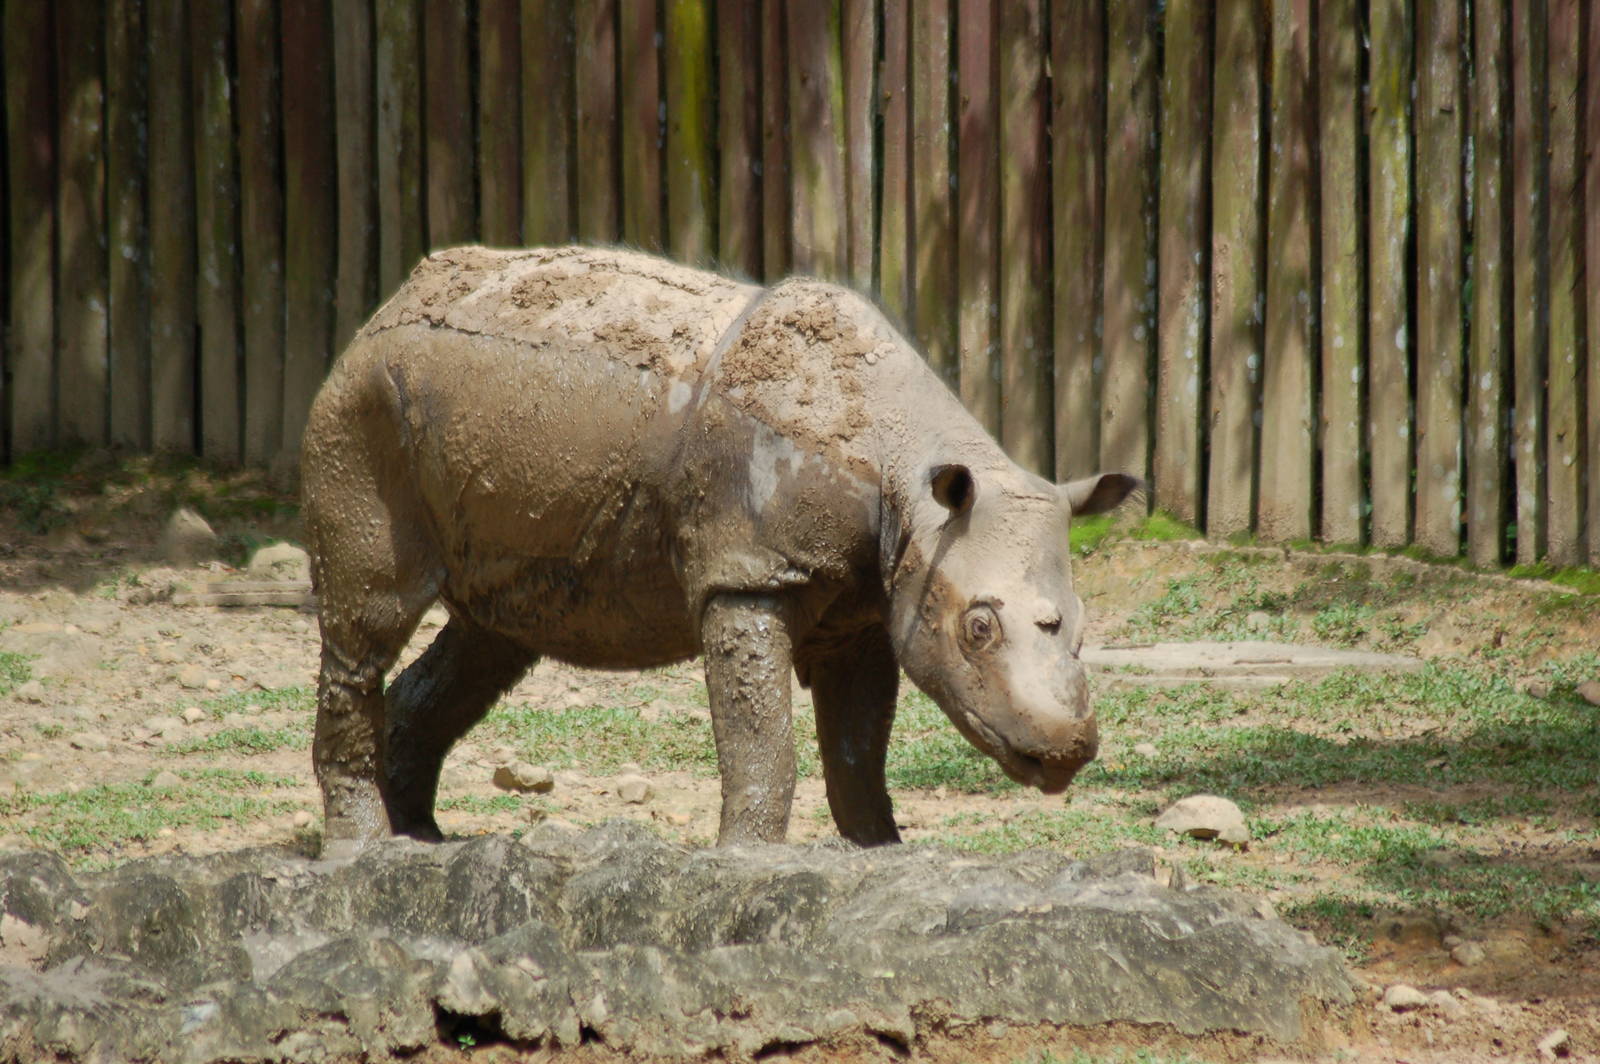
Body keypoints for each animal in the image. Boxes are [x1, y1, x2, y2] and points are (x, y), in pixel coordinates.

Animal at [301, 246, 1138, 854]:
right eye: (979, 629)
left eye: (1080, 627)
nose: (1067, 750)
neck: (909, 472)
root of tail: (380, 312)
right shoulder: (750, 573)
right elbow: (761, 735)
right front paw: (751, 860)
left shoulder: (867, 602)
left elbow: (858, 746)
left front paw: (879, 855)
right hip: (361, 410)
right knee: (368, 623)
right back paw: (365, 852)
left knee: (491, 635)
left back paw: (424, 839)